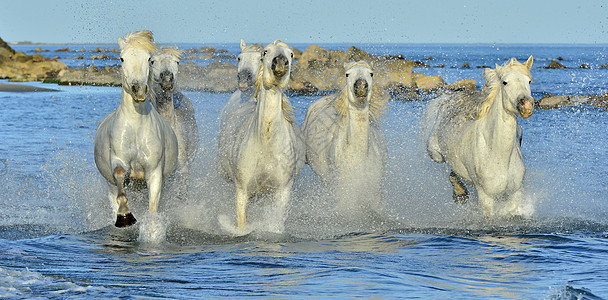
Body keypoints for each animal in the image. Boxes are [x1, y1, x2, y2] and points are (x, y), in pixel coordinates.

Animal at [93, 31, 178, 227]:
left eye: (149, 59)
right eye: (122, 58)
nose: (138, 90)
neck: (136, 127)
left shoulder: (154, 172)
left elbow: (153, 208)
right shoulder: (119, 161)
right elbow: (120, 177)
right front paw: (124, 216)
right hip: (109, 184)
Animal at [216, 40, 306, 232]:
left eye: (291, 54)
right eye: (265, 52)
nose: (280, 62)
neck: (266, 141)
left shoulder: (281, 192)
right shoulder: (242, 191)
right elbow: (242, 225)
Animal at [422, 55, 532, 218]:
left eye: (529, 81)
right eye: (505, 82)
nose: (527, 105)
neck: (499, 155)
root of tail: (448, 99)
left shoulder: (514, 194)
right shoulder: (486, 197)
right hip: (435, 153)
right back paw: (460, 193)